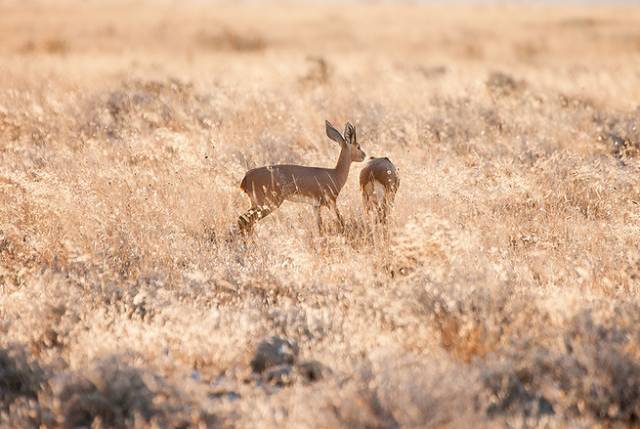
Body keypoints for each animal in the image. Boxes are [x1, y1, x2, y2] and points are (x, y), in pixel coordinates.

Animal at [236, 120, 368, 234]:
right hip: (268, 204)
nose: (364, 156)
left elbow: (320, 227)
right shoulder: (331, 202)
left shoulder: (316, 206)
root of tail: (247, 176)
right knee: (244, 220)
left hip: (256, 204)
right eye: (358, 146)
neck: (335, 174)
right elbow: (341, 221)